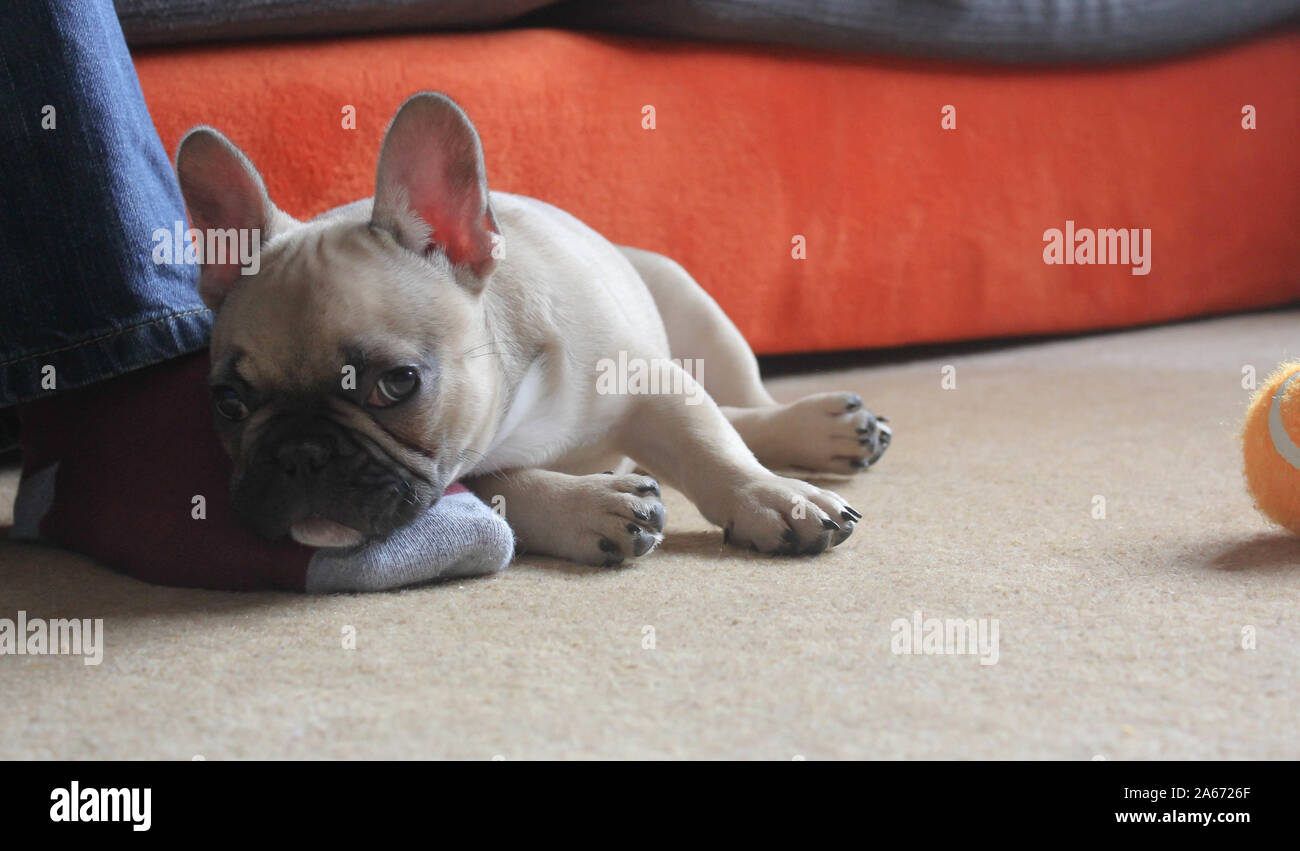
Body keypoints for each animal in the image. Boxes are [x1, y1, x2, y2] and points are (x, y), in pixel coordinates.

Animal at [178, 91, 889, 566]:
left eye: (397, 384)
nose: (299, 452)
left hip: (696, 309)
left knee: (741, 407)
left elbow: (707, 445)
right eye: (228, 403)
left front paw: (769, 497)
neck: (516, 386)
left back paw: (816, 427)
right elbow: (500, 488)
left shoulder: (651, 384)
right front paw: (592, 504)